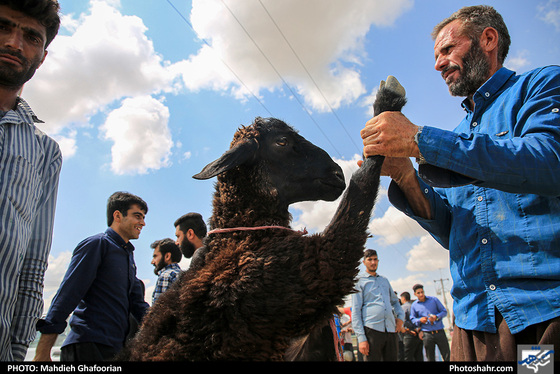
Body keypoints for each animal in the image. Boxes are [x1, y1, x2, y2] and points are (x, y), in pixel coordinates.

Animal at [119, 75, 406, 360]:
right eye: (281, 141)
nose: (337, 174)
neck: (244, 235)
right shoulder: (315, 271)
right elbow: (359, 194)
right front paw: (387, 103)